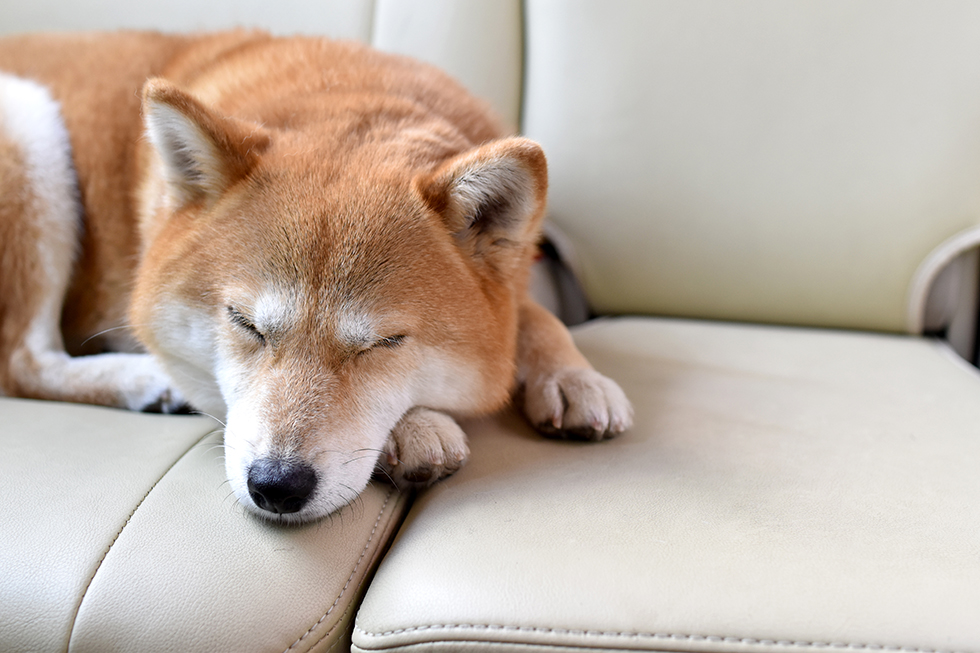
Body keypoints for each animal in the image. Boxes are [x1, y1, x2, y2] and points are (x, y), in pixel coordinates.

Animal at [0, 30, 636, 524]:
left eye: (385, 343)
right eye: (244, 324)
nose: (276, 486)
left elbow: (536, 316)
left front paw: (572, 375)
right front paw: (415, 427)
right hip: (29, 121)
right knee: (22, 362)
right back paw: (144, 378)